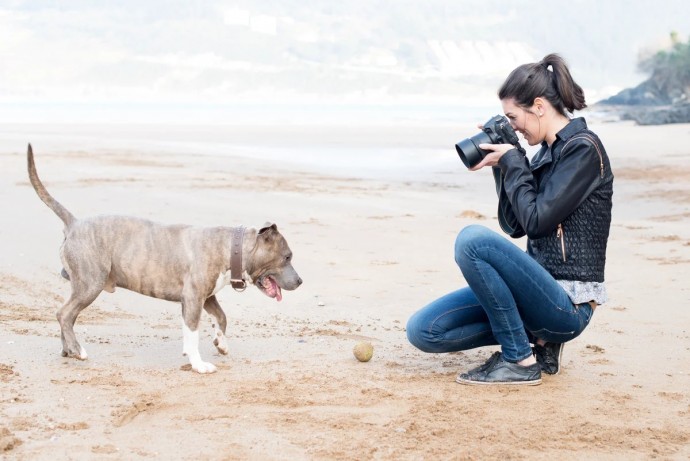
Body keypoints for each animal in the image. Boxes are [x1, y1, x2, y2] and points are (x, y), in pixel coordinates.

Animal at [27, 146, 300, 372]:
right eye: (287, 257)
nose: (300, 282)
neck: (230, 247)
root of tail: (74, 223)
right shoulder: (192, 298)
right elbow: (192, 332)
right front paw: (199, 364)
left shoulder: (207, 297)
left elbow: (222, 317)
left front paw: (221, 343)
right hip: (90, 283)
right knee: (64, 314)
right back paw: (77, 350)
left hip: (83, 285)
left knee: (68, 316)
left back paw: (67, 350)